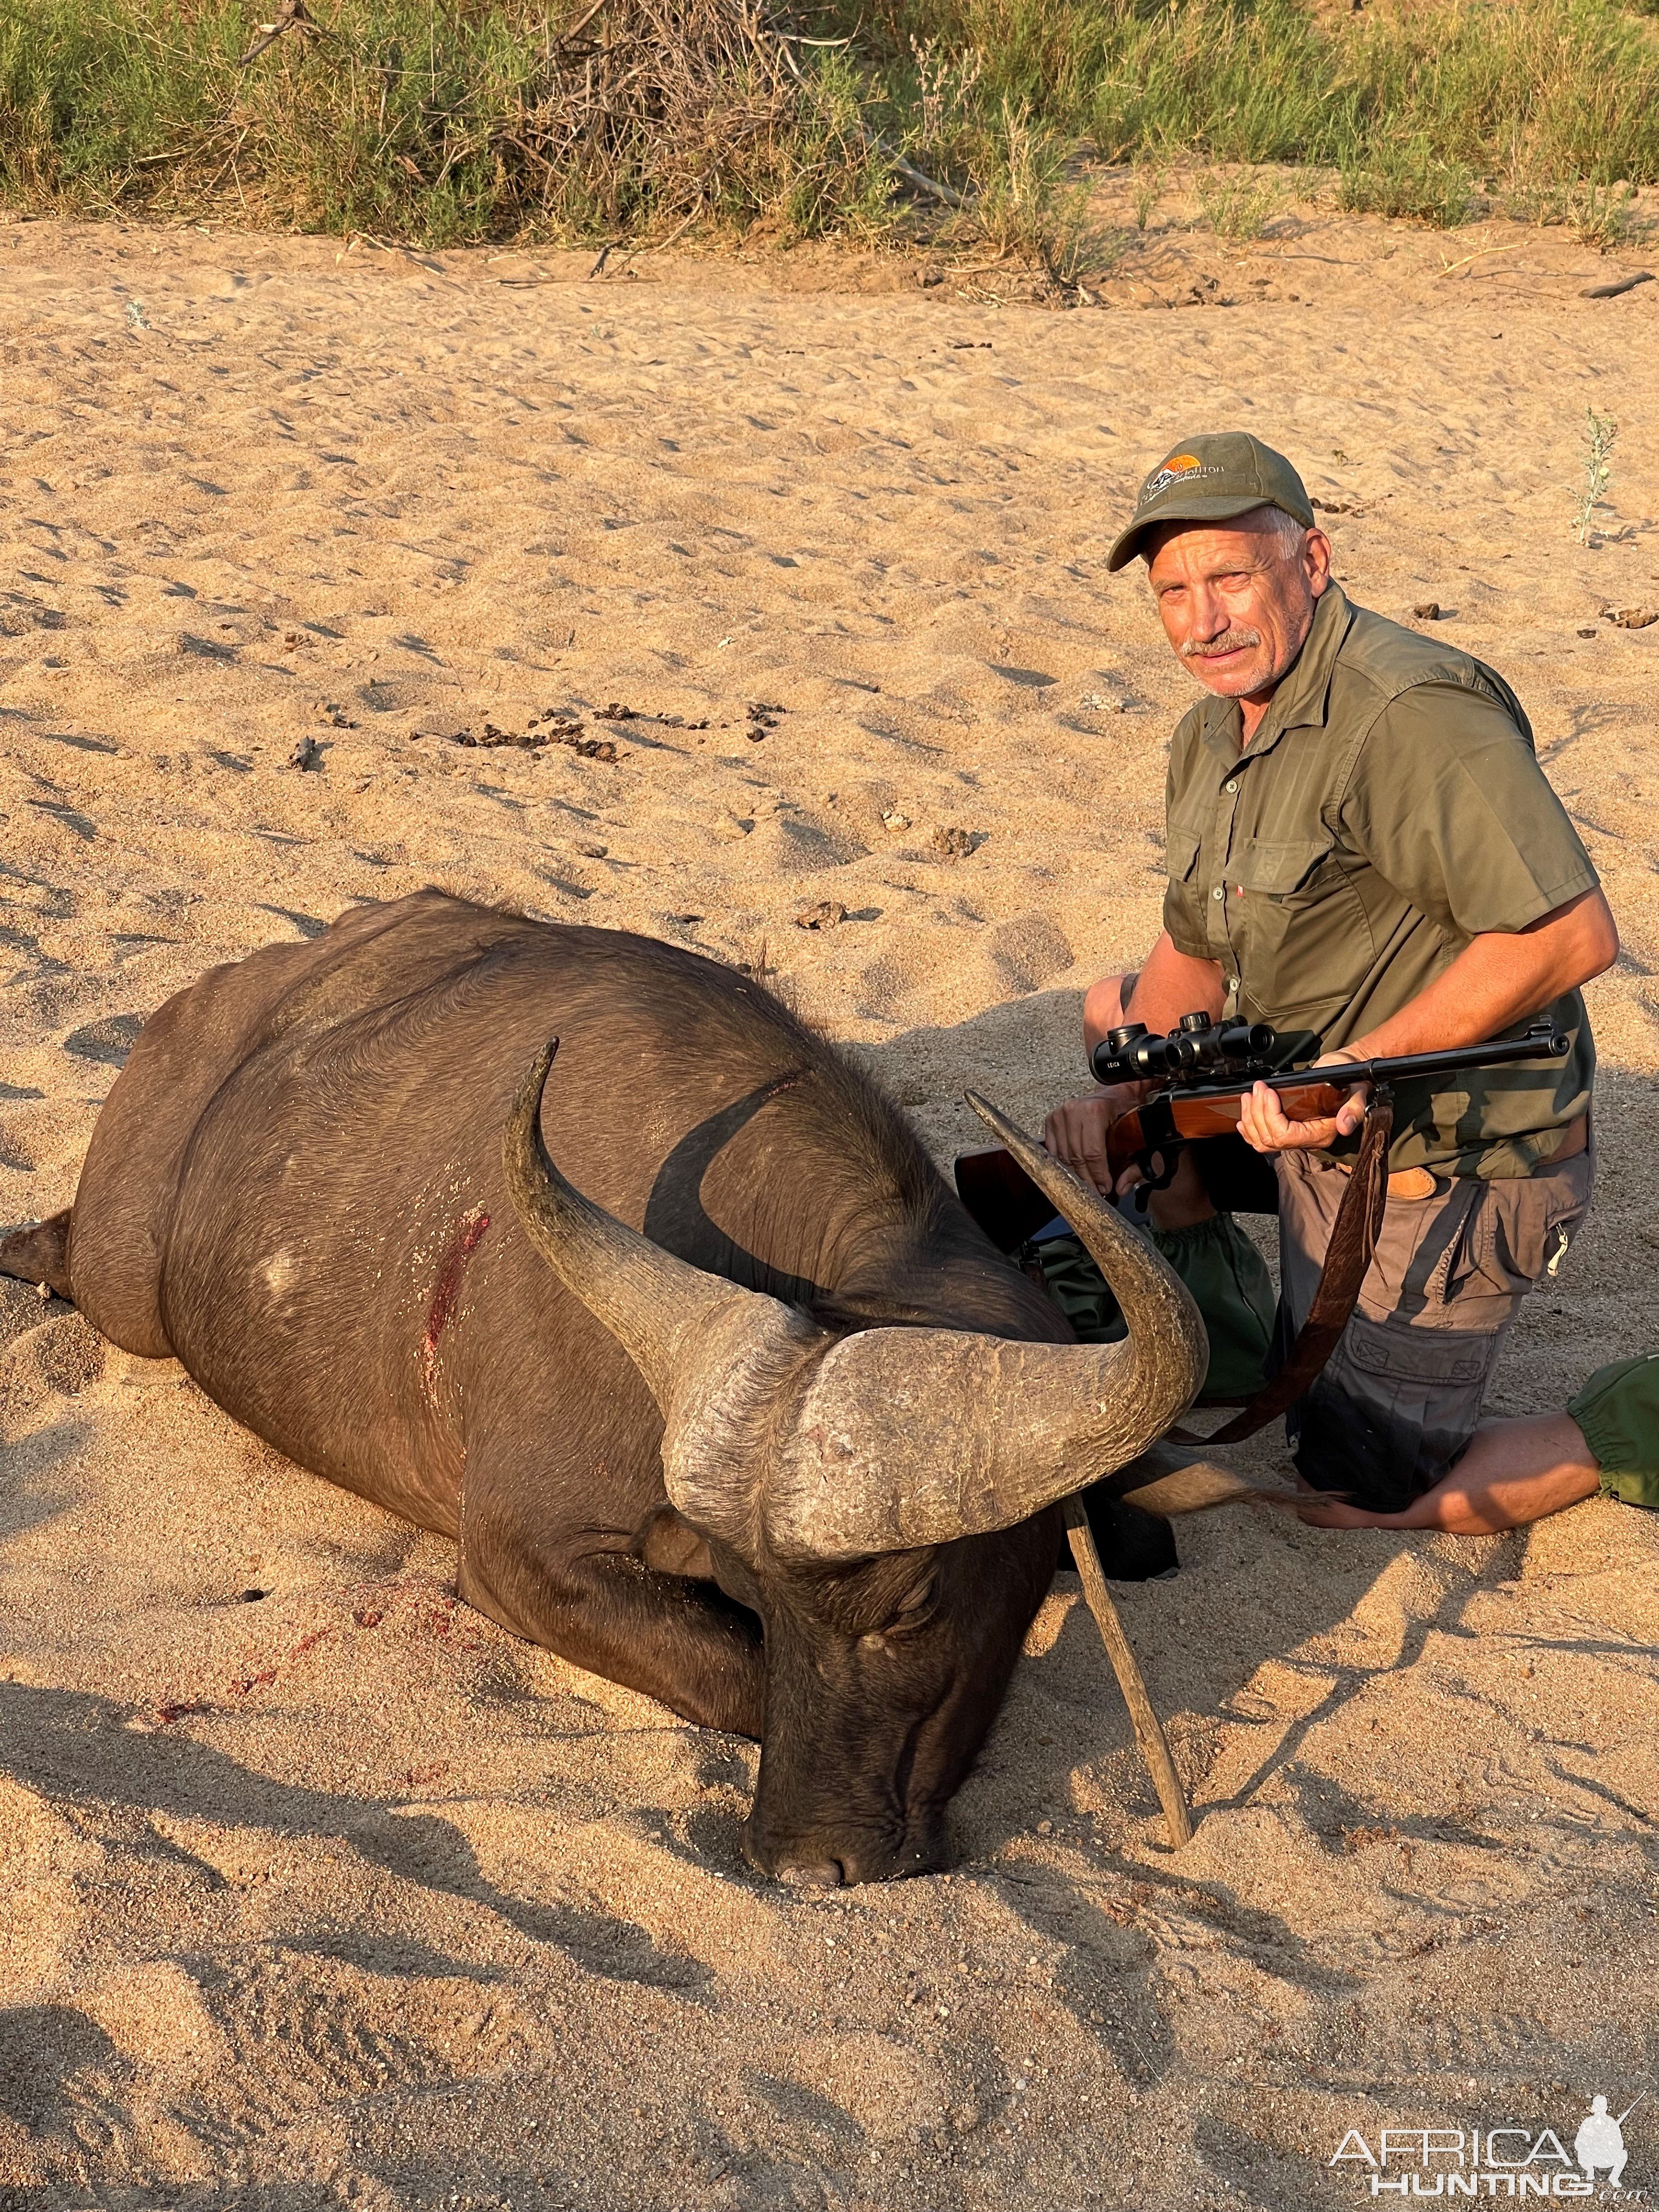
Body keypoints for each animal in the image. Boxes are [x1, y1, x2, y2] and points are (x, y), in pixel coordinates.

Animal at [0, 889, 1203, 1876]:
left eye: (910, 1606)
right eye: (758, 1593)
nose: (805, 1862)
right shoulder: (521, 1559)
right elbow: (742, 1680)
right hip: (123, 1288)